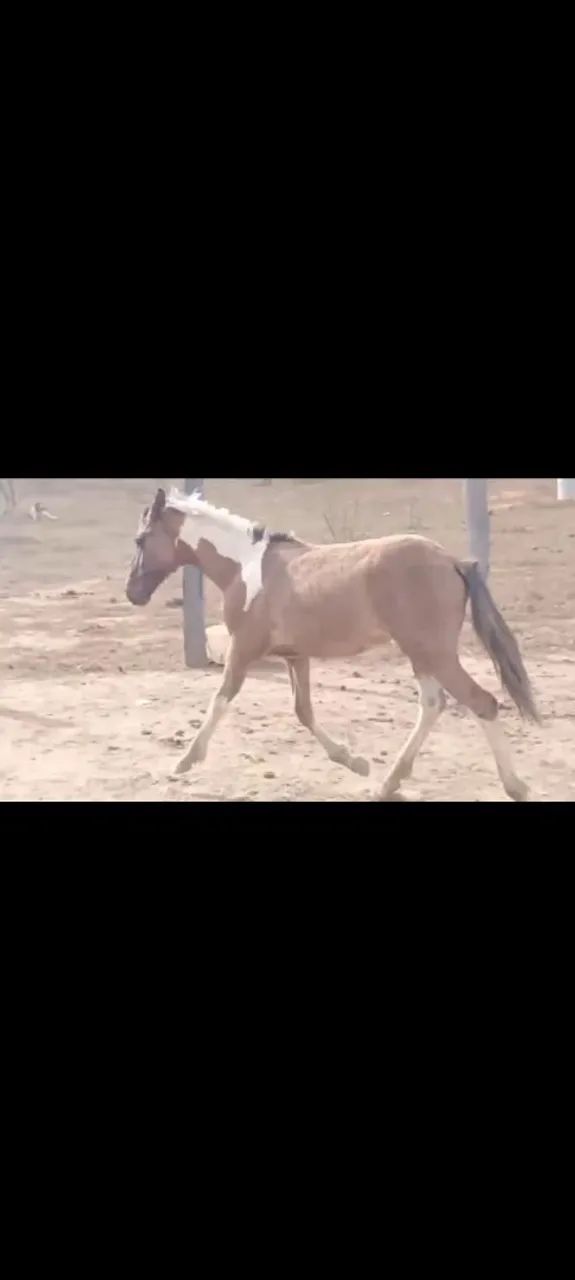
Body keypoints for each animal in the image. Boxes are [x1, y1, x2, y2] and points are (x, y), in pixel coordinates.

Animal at [126, 487, 539, 801]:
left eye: (141, 539)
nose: (133, 593)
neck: (245, 568)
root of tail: (454, 560)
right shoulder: (296, 656)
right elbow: (303, 711)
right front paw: (354, 761)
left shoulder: (242, 649)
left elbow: (220, 700)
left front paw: (185, 761)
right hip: (421, 652)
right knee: (434, 704)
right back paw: (388, 783)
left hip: (432, 651)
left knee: (481, 702)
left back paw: (516, 787)